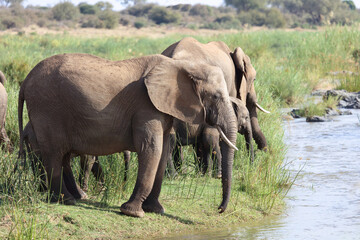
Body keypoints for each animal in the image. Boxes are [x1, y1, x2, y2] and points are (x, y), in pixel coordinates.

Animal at [19, 52, 239, 218]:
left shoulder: (162, 108)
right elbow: (151, 149)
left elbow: (162, 150)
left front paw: (156, 210)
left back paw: (76, 197)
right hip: (48, 108)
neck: (181, 65)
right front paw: (132, 212)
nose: (219, 209)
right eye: (215, 96)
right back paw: (66, 200)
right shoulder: (146, 106)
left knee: (62, 155)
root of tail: (26, 80)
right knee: (54, 154)